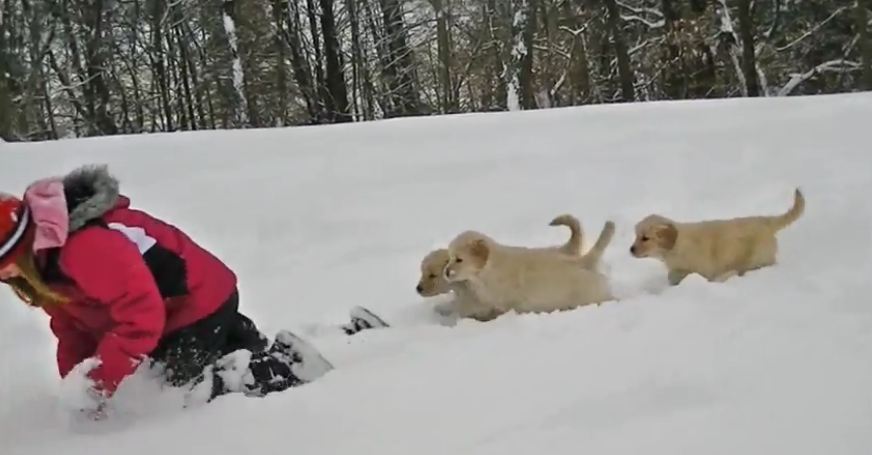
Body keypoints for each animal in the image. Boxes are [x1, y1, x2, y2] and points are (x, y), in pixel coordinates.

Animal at [632, 189, 808, 284]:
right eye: (635, 236)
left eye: (645, 238)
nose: (631, 250)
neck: (676, 245)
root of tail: (766, 221)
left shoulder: (699, 267)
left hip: (757, 257)